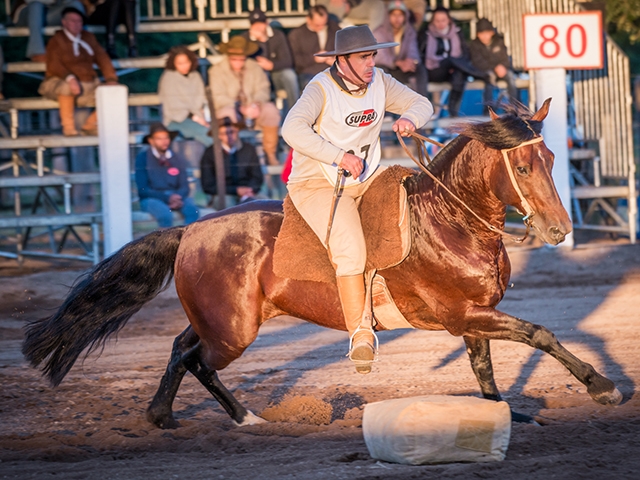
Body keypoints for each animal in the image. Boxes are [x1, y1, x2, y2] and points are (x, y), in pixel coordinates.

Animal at [22, 99, 624, 430]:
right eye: (522, 166)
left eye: (552, 158)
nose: (560, 230)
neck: (446, 221)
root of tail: (191, 228)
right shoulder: (463, 315)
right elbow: (539, 333)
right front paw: (601, 385)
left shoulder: (475, 318)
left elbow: (486, 374)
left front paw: (507, 413)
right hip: (233, 332)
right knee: (196, 361)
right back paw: (232, 417)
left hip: (220, 321)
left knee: (178, 349)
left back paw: (173, 415)